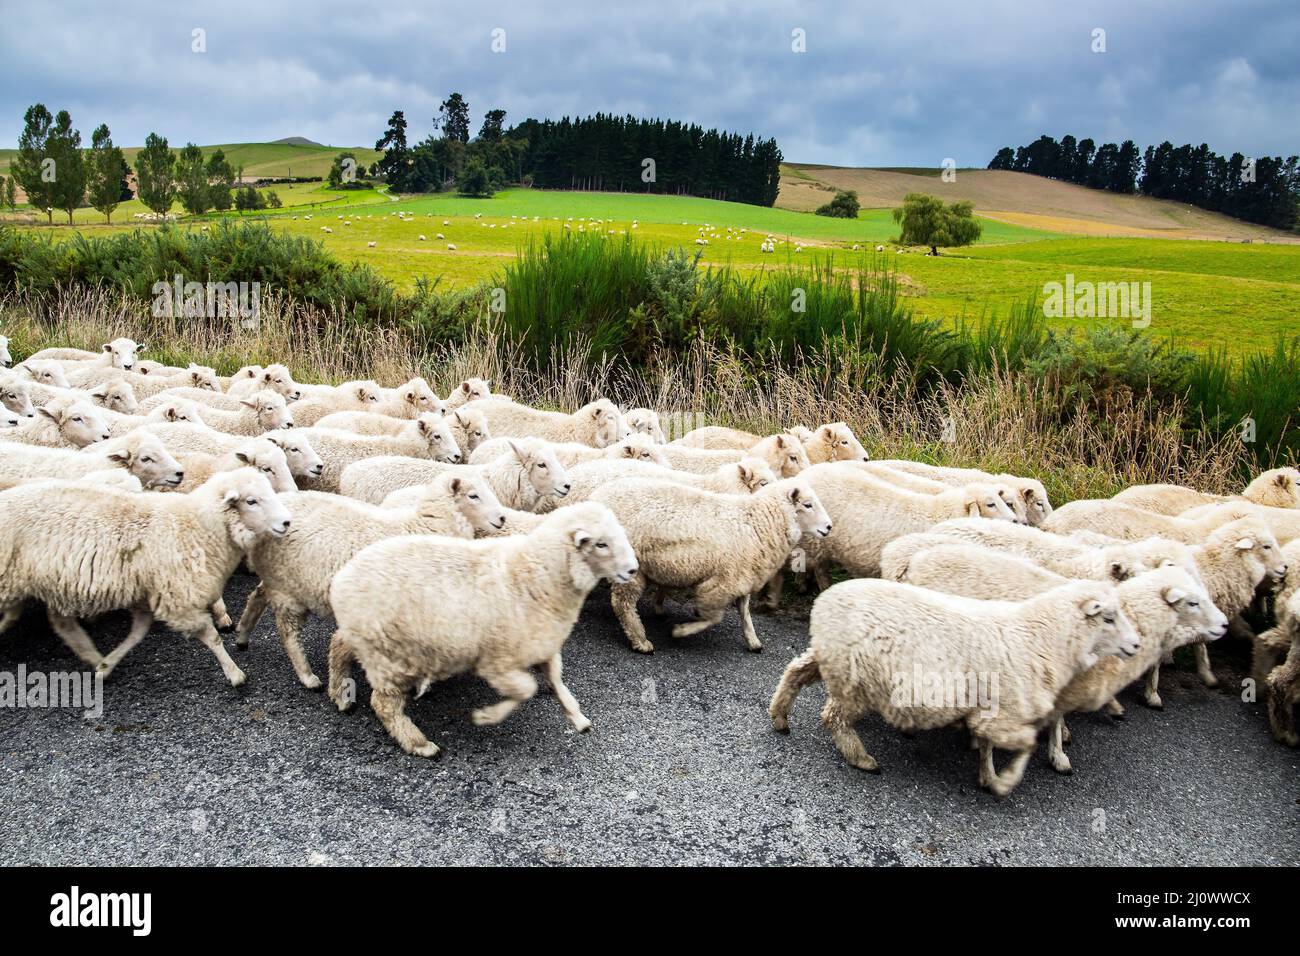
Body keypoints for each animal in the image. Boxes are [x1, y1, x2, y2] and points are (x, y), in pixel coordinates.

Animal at [0, 469, 290, 683]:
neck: (196, 525)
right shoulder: (178, 597)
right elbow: (212, 637)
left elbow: (138, 633)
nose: (287, 522)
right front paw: (235, 674)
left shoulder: (148, 593)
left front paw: (107, 664)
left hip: (52, 584)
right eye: (251, 501)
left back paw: (92, 657)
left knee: (62, 624)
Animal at [235, 471, 508, 688]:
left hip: (278, 578)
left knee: (257, 595)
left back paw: (242, 635)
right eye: (473, 496)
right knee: (288, 632)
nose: (503, 518)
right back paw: (307, 676)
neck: (423, 526)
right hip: (287, 591)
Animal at [325, 502, 637, 756]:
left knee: (338, 645)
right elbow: (527, 689)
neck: (535, 575)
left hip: (367, 640)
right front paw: (487, 717)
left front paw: (578, 718)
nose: (633, 570)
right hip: (388, 657)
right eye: (601, 544)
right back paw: (419, 744)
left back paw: (339, 692)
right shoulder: (497, 662)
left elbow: (557, 682)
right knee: (383, 704)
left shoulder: (543, 645)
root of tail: (343, 578)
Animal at [590, 477, 832, 653]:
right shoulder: (721, 582)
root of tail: (598, 497)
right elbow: (714, 617)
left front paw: (753, 641)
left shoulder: (741, 576)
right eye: (807, 505)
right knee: (623, 603)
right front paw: (682, 631)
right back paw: (641, 641)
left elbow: (745, 612)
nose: (829, 527)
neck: (757, 523)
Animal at [768, 577, 1139, 797]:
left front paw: (987, 775)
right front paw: (1004, 782)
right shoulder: (1005, 713)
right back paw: (861, 758)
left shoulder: (989, 710)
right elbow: (1026, 745)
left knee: (795, 671)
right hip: (855, 680)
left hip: (830, 658)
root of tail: (825, 601)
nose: (1135, 645)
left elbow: (988, 745)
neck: (1041, 636)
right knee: (833, 717)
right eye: (1108, 618)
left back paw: (779, 716)